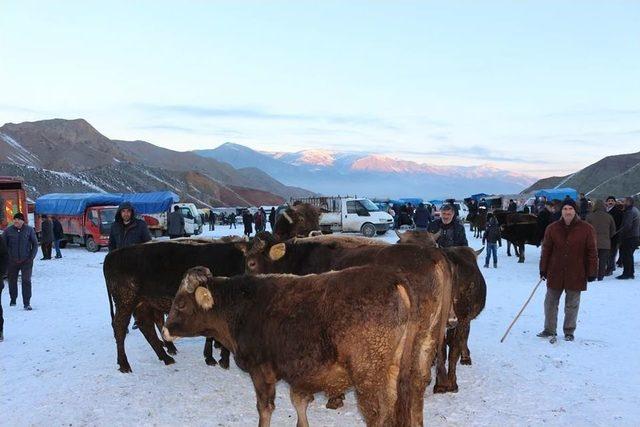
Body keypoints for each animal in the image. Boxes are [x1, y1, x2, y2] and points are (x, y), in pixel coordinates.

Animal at [162, 264, 448, 427]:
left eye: (181, 304)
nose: (165, 330)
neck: (243, 307)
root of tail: (393, 279)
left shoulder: (261, 371)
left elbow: (265, 409)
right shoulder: (300, 376)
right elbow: (299, 402)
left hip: (369, 376)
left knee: (379, 415)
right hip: (405, 367)